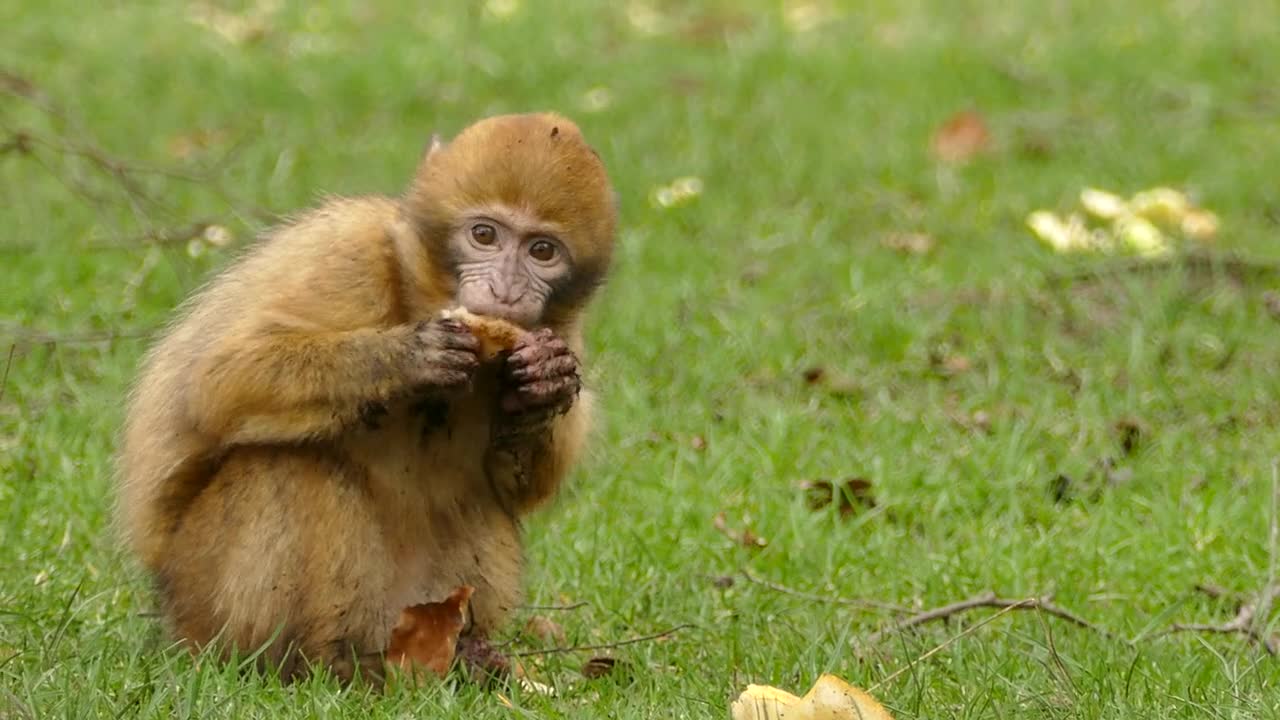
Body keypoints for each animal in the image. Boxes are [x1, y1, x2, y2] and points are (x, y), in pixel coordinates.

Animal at [117, 112, 616, 681]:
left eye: (542, 251)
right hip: (201, 599)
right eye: (484, 235)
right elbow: (220, 380)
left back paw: (463, 655)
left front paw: (543, 385)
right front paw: (409, 357)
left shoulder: (564, 329)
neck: (417, 290)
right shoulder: (348, 255)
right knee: (283, 465)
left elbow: (515, 486)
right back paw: (312, 665)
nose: (506, 291)